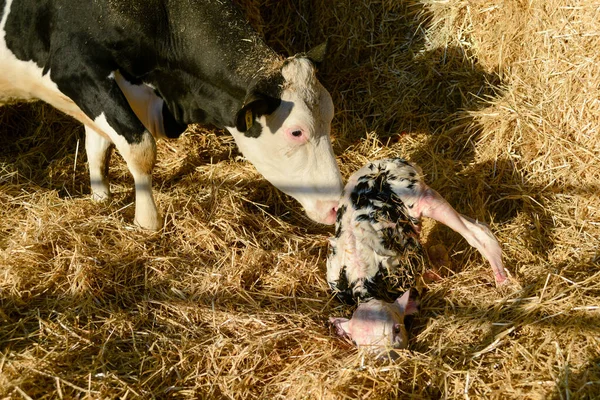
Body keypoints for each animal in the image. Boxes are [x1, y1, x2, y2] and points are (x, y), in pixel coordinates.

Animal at [0, 0, 342, 230]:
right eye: (296, 132)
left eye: (330, 117)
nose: (336, 208)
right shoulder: (76, 69)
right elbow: (141, 148)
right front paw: (146, 221)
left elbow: (98, 146)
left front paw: (101, 199)